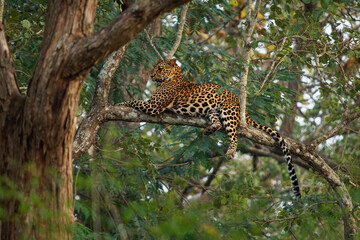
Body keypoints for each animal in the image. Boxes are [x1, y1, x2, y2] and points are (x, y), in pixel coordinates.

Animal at [119, 58, 300, 199]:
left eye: (160, 69)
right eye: (154, 68)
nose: (151, 76)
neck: (173, 78)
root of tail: (244, 109)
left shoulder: (153, 106)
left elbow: (134, 101)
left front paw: (119, 104)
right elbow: (135, 101)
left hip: (228, 112)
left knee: (234, 135)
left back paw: (230, 152)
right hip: (213, 111)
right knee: (218, 123)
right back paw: (208, 130)